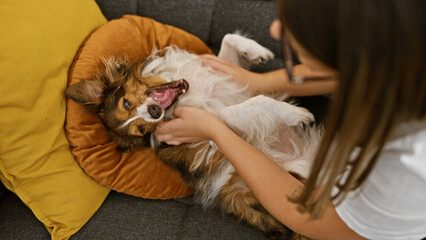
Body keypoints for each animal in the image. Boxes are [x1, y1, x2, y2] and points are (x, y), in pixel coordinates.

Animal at [66, 34, 320, 240]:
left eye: (126, 103)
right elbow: (249, 104)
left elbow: (228, 40)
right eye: (141, 130)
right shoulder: (219, 126)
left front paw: (257, 52)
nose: (155, 112)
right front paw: (295, 114)